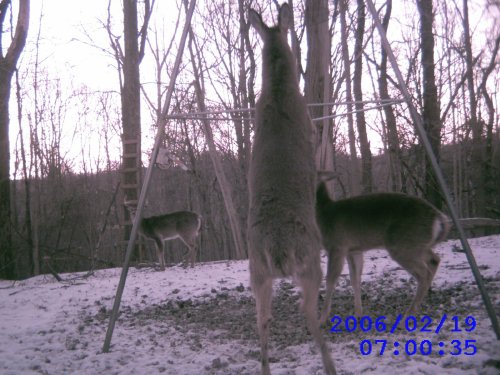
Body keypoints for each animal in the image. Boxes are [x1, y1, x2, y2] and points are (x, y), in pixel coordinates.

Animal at [316, 180, 454, 326]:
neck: (323, 214)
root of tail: (438, 218)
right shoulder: (353, 250)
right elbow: (355, 279)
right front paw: (358, 314)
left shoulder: (336, 246)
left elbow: (330, 280)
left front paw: (321, 319)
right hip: (417, 245)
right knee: (434, 260)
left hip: (402, 246)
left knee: (424, 273)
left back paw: (406, 317)